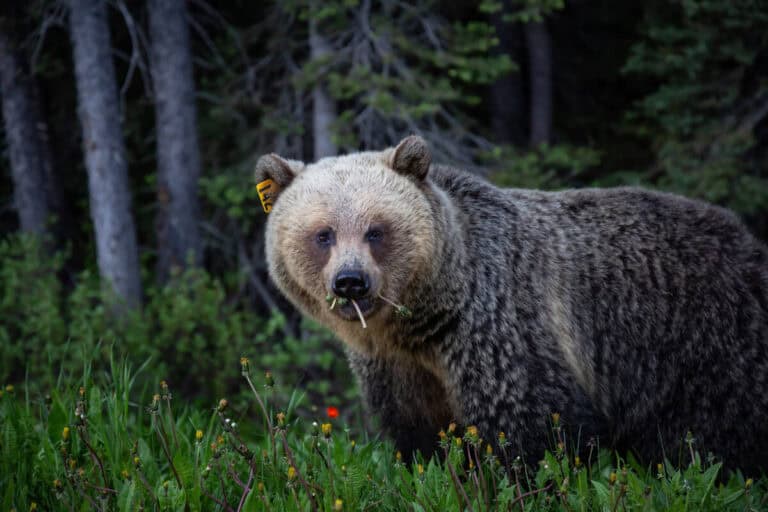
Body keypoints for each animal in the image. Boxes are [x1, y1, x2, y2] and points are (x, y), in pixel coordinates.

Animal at [256, 134, 768, 470]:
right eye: (323, 234)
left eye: (376, 230)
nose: (351, 282)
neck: (424, 320)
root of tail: (750, 245)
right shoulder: (396, 366)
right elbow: (419, 433)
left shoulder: (499, 324)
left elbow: (530, 427)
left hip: (699, 344)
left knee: (711, 434)